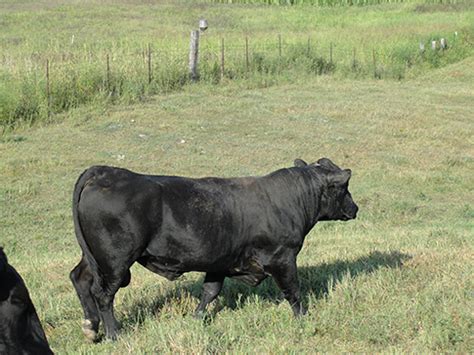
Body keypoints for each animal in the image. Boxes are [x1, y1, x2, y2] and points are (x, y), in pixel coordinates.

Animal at [70, 157, 358, 340]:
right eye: (344, 188)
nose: (355, 208)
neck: (288, 200)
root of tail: (105, 172)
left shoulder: (221, 260)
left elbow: (210, 292)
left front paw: (196, 318)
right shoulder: (283, 257)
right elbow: (293, 291)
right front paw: (304, 317)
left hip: (94, 257)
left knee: (80, 278)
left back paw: (91, 327)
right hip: (115, 260)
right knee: (103, 293)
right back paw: (113, 334)